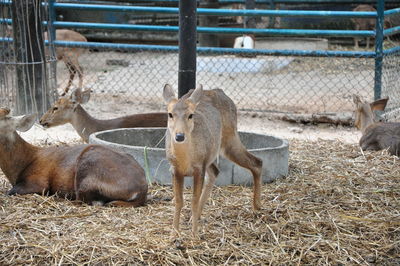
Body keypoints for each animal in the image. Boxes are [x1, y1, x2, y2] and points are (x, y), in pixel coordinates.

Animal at [162, 84, 262, 236]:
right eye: (170, 114)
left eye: (190, 115)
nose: (179, 136)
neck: (185, 161)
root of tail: (220, 91)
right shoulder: (175, 169)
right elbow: (178, 201)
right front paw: (174, 234)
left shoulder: (199, 168)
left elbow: (194, 201)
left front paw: (194, 235)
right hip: (213, 153)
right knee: (216, 171)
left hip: (229, 138)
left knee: (257, 162)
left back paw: (257, 206)